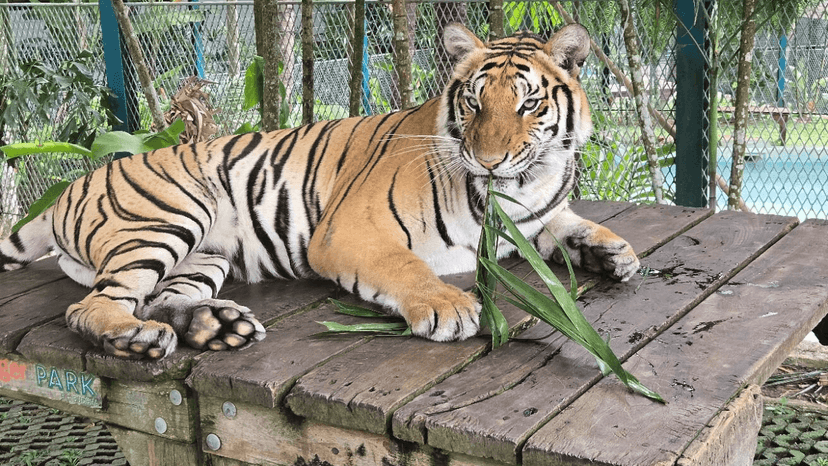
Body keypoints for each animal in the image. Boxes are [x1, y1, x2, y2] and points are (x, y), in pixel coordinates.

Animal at [0, 24, 640, 359]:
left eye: (529, 104)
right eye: (475, 102)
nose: (488, 159)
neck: (516, 188)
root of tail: (71, 183)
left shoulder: (536, 214)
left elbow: (570, 223)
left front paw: (615, 252)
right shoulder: (348, 231)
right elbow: (405, 266)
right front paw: (449, 305)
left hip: (203, 256)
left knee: (153, 297)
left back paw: (217, 327)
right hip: (168, 218)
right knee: (92, 307)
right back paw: (136, 338)